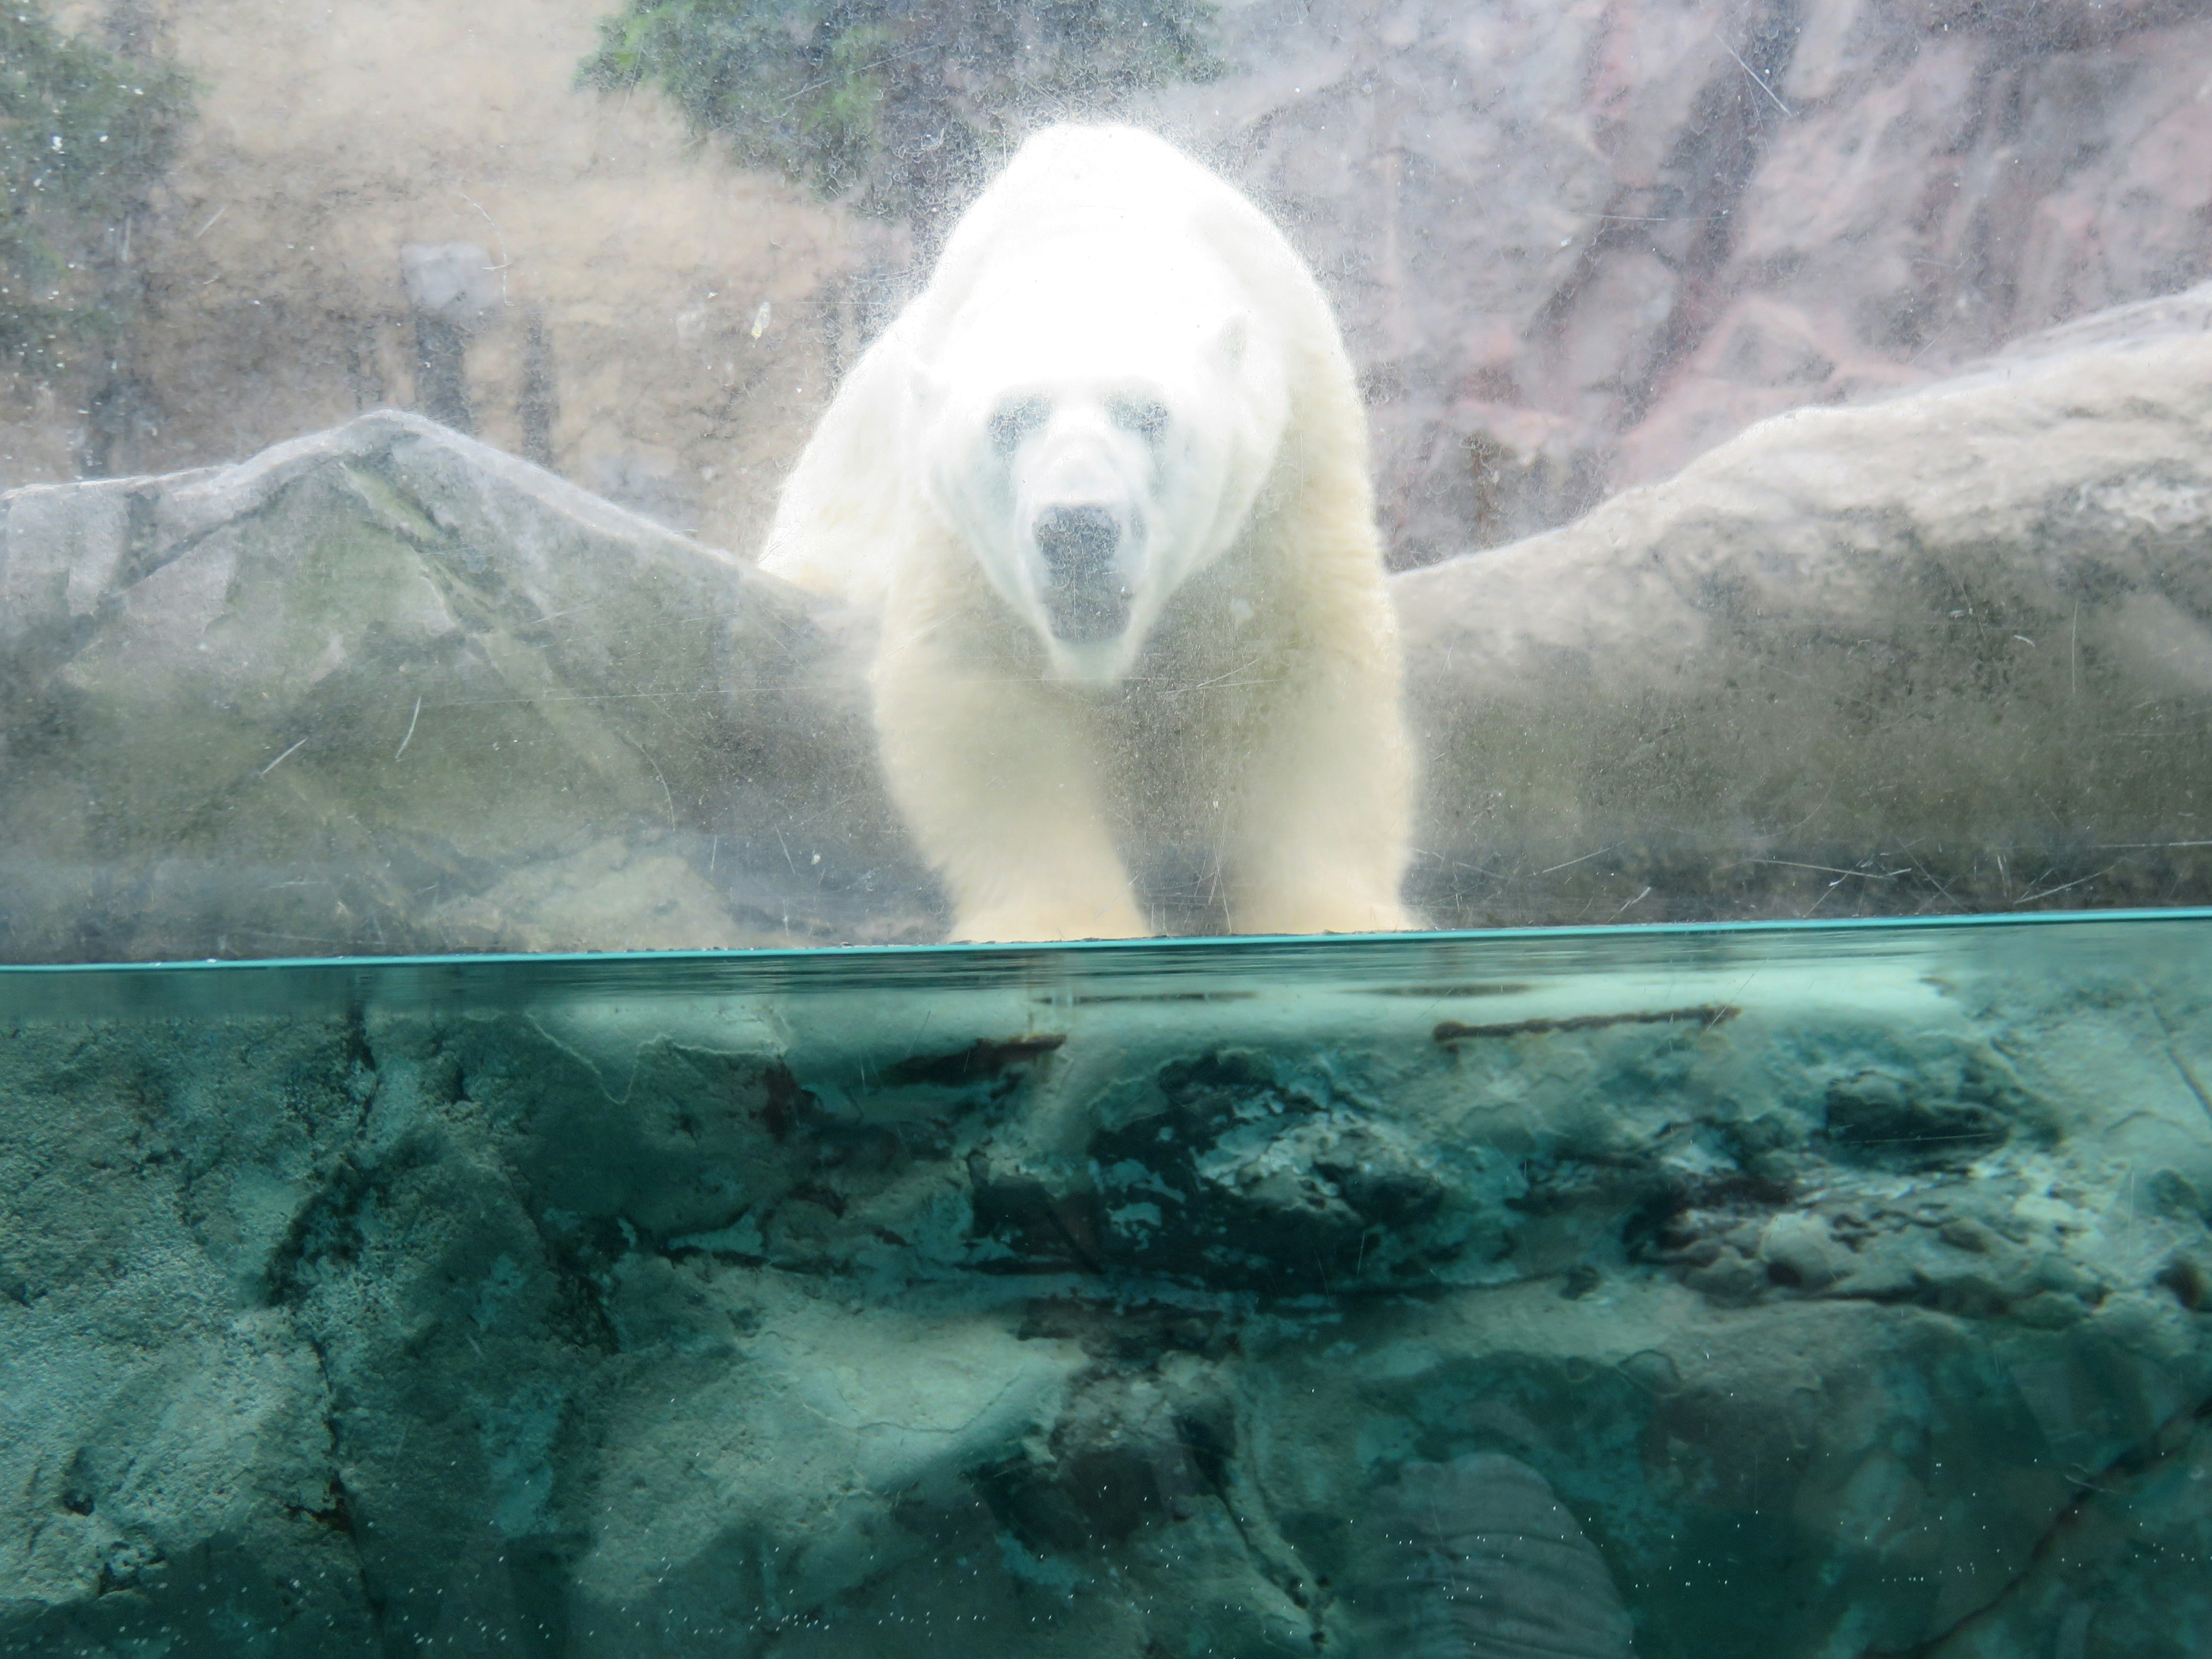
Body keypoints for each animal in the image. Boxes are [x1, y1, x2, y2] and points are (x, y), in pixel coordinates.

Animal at [760, 123, 1415, 942]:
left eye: (1148, 414)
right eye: (1010, 420)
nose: (1077, 528)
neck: (1090, 222)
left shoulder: (1293, 461)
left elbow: (1305, 668)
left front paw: (1332, 919)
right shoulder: (956, 531)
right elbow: (987, 691)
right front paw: (1061, 923)